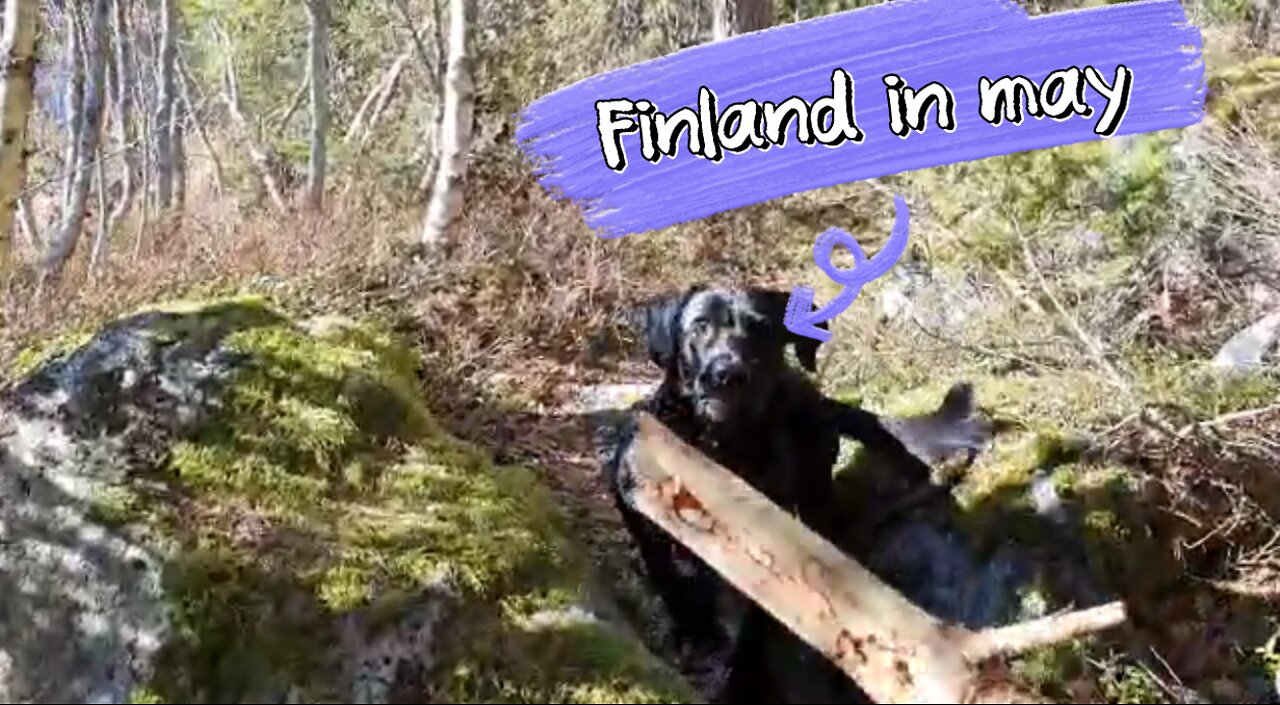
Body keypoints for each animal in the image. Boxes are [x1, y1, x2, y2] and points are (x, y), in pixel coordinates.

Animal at [599, 284, 988, 701]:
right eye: (700, 327)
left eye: (762, 328)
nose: (728, 374)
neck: (719, 447)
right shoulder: (641, 511)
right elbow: (669, 577)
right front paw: (694, 630)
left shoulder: (768, 545)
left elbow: (757, 622)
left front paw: (746, 682)